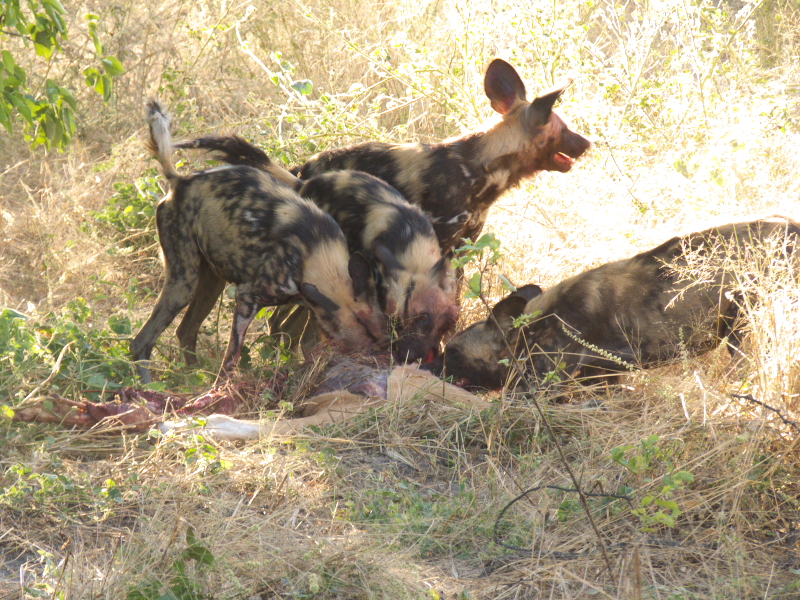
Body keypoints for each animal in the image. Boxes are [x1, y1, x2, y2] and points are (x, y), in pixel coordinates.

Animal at [130, 101, 388, 383]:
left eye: (380, 336)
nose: (388, 355)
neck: (317, 255)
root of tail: (182, 181)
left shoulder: (310, 306)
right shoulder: (248, 298)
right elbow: (231, 360)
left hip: (211, 283)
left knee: (185, 331)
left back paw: (193, 377)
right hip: (183, 284)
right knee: (141, 342)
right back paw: (150, 388)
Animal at [174, 135, 459, 363]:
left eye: (425, 319)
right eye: (398, 322)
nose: (407, 357)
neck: (409, 243)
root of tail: (303, 185)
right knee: (288, 328)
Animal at [176, 58, 590, 253]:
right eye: (564, 129)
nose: (588, 143)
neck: (479, 170)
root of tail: (302, 173)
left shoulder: (463, 245)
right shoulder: (439, 240)